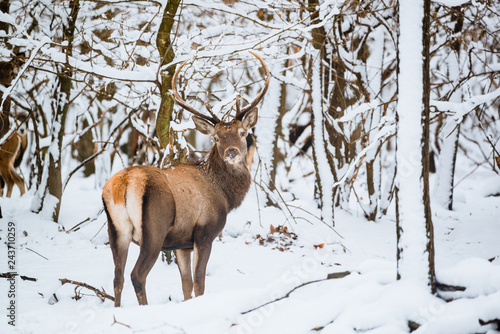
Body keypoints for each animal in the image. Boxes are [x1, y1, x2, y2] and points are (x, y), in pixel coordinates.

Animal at [101, 51, 270, 306]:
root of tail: (124, 183)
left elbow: (186, 284)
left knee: (117, 277)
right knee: (136, 275)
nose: (232, 152)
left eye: (242, 133)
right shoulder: (204, 232)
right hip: (154, 229)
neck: (225, 196)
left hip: (116, 230)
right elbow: (199, 282)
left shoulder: (182, 243)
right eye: (217, 138)